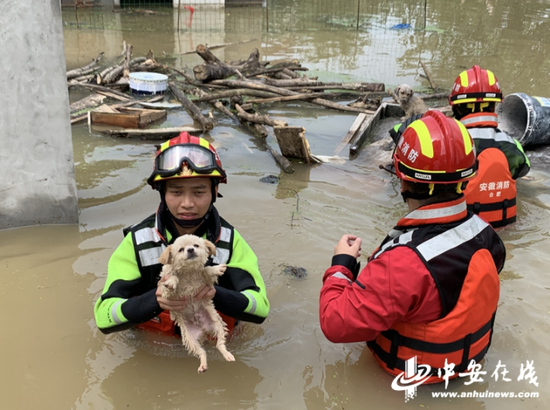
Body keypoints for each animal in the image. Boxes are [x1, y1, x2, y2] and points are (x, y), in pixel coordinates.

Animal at [95, 133, 272, 338]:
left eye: (198, 191)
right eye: (177, 191)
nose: (190, 250)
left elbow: (252, 294)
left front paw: (214, 274)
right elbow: (110, 299)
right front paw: (170, 285)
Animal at [160, 234, 237, 372]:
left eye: (196, 245)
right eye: (181, 249)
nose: (190, 249)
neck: (189, 272)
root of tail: (203, 328)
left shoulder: (206, 282)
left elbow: (206, 270)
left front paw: (216, 269)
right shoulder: (167, 294)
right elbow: (173, 278)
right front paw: (172, 282)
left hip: (218, 325)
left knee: (220, 344)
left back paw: (227, 355)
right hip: (190, 339)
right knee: (202, 352)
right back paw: (203, 365)